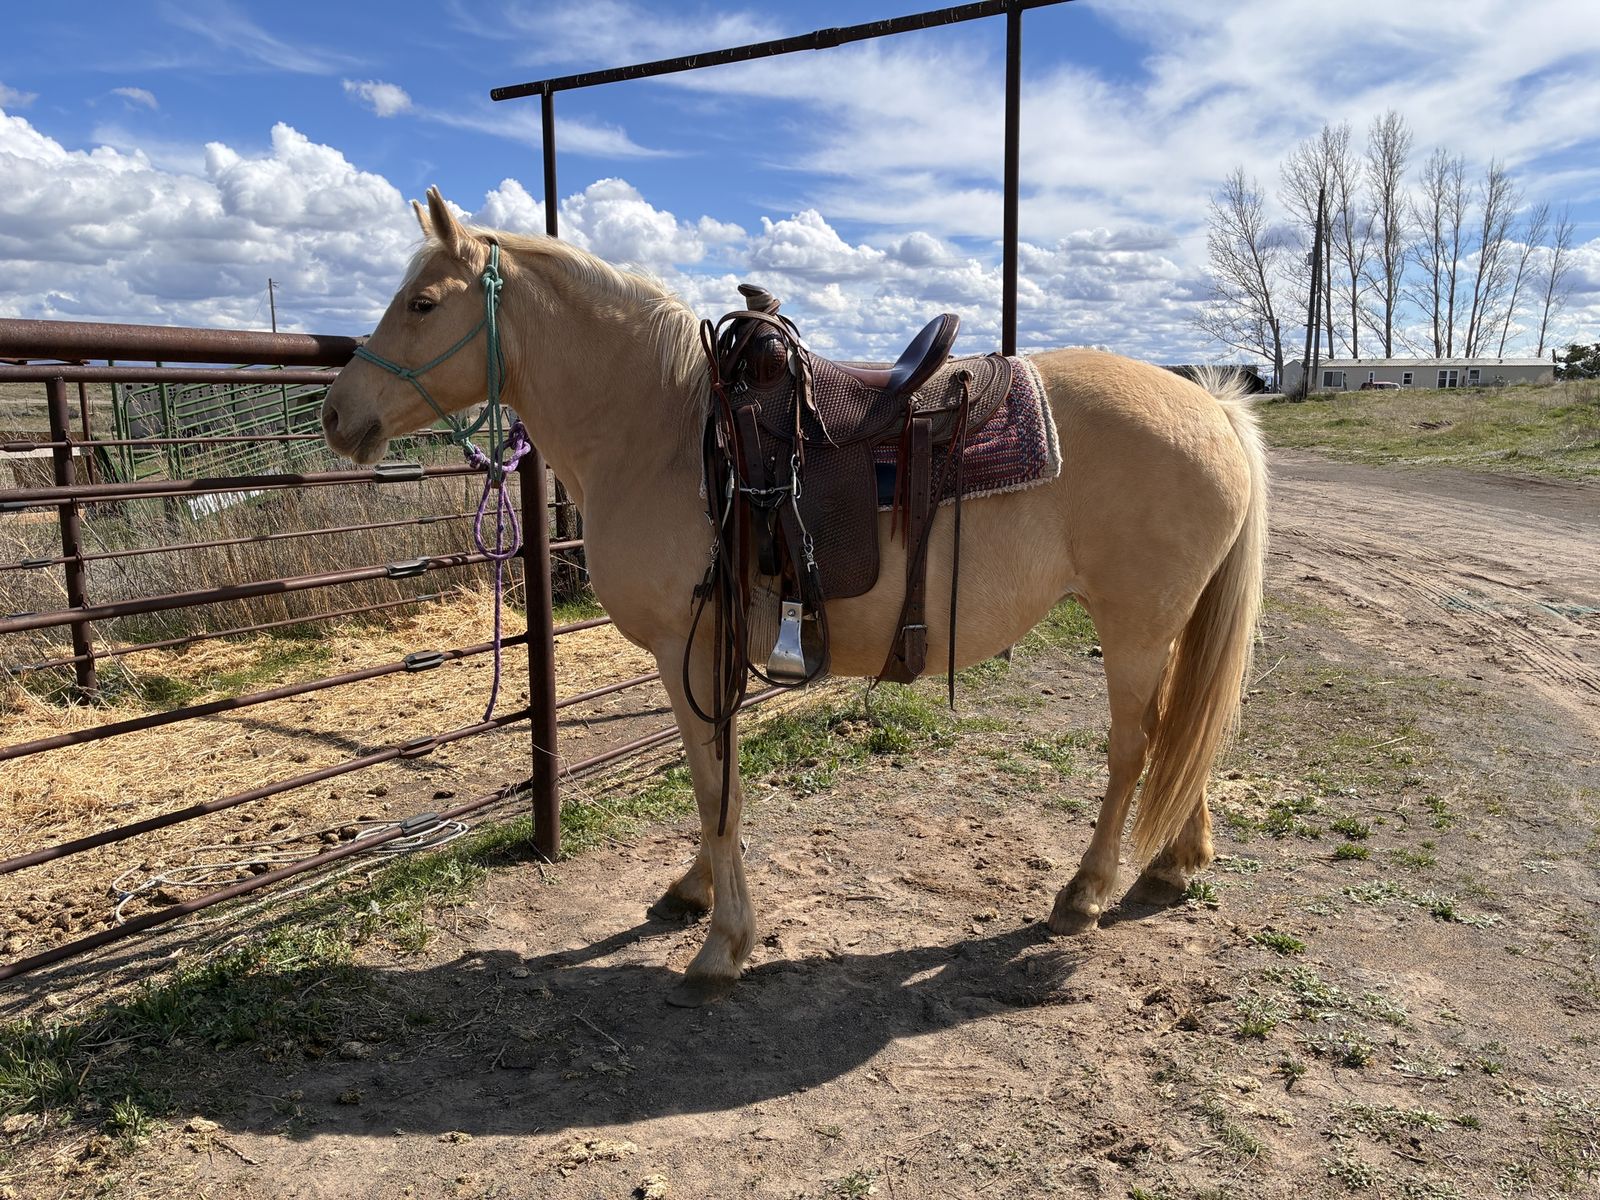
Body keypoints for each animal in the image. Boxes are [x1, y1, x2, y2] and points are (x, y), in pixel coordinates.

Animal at [321, 188, 1268, 1007]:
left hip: (1135, 627)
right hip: (1164, 628)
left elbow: (713, 787)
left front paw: (722, 945)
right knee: (1182, 730)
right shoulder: (716, 651)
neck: (659, 432)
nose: (334, 415)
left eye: (423, 303)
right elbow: (717, 783)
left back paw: (1088, 890)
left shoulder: (689, 649)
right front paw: (696, 892)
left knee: (1134, 747)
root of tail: (1213, 408)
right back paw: (1177, 860)